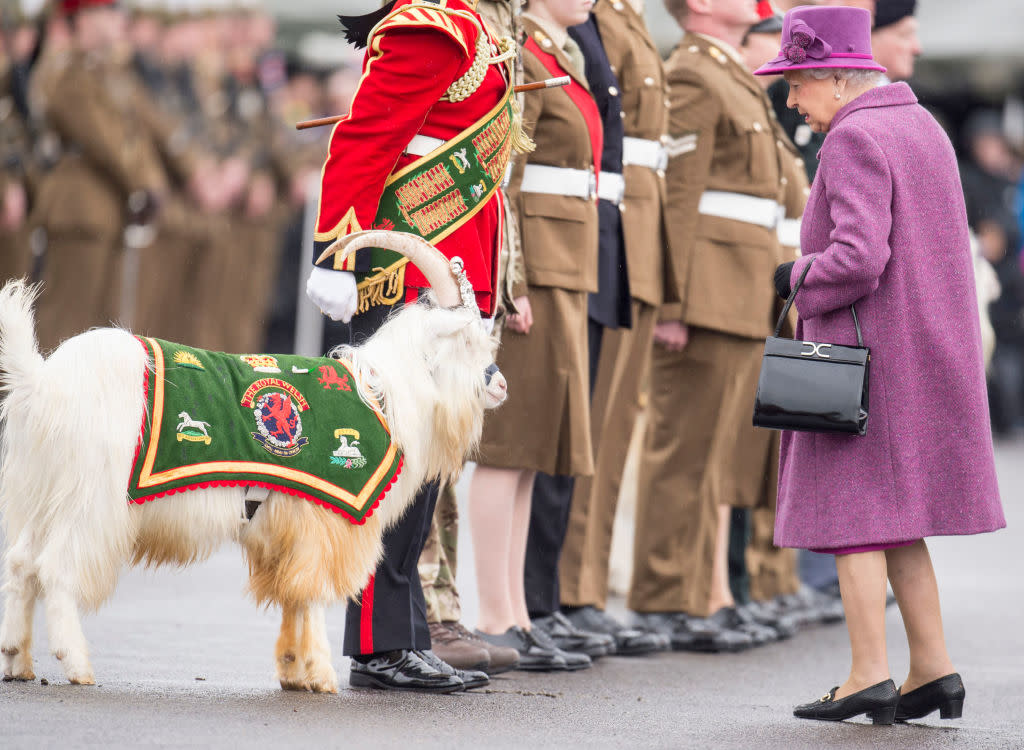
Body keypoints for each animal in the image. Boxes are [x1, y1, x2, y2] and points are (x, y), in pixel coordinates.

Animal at [0, 232, 505, 692]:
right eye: (469, 340)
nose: (499, 385)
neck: (383, 395)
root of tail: (45, 382)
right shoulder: (326, 514)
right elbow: (313, 595)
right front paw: (321, 675)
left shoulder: (285, 528)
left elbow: (293, 596)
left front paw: (292, 670)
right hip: (91, 500)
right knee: (56, 569)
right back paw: (76, 664)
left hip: (46, 494)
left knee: (22, 564)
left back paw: (16, 660)